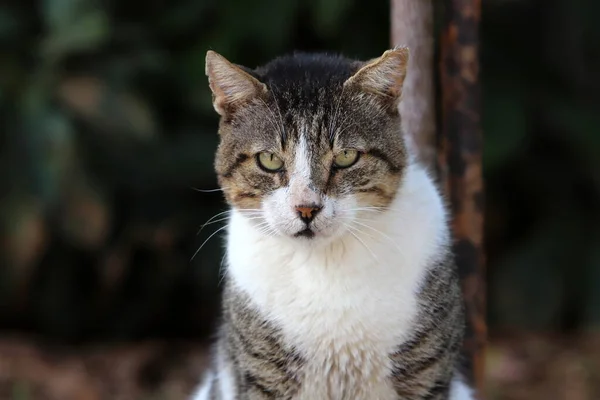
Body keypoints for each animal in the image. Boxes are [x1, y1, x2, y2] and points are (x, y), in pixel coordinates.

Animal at [190, 47, 476, 400]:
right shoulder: (262, 375)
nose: (306, 208)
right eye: (269, 160)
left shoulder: (426, 371)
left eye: (346, 157)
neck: (324, 265)